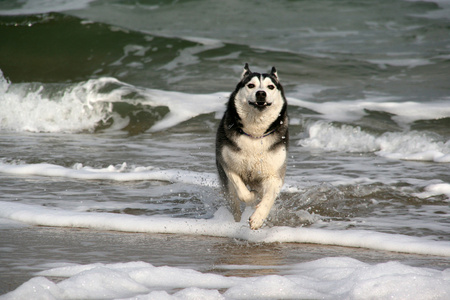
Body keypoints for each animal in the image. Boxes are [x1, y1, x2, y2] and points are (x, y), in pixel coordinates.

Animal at [217, 63, 288, 230]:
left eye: (270, 86)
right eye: (251, 85)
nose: (261, 93)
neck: (255, 134)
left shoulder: (274, 174)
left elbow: (268, 197)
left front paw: (258, 218)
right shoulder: (228, 165)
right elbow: (243, 193)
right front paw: (252, 196)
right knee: (234, 203)